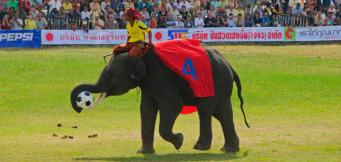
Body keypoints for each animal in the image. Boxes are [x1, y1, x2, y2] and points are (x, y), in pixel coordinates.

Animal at [69, 45, 250, 153]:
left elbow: (172, 106)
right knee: (222, 113)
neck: (138, 54)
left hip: (212, 83)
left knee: (206, 111)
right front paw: (143, 152)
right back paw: (229, 149)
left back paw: (200, 148)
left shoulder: (161, 77)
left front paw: (179, 141)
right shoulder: (148, 83)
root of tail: (230, 65)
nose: (80, 106)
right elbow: (146, 110)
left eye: (113, 75)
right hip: (221, 86)